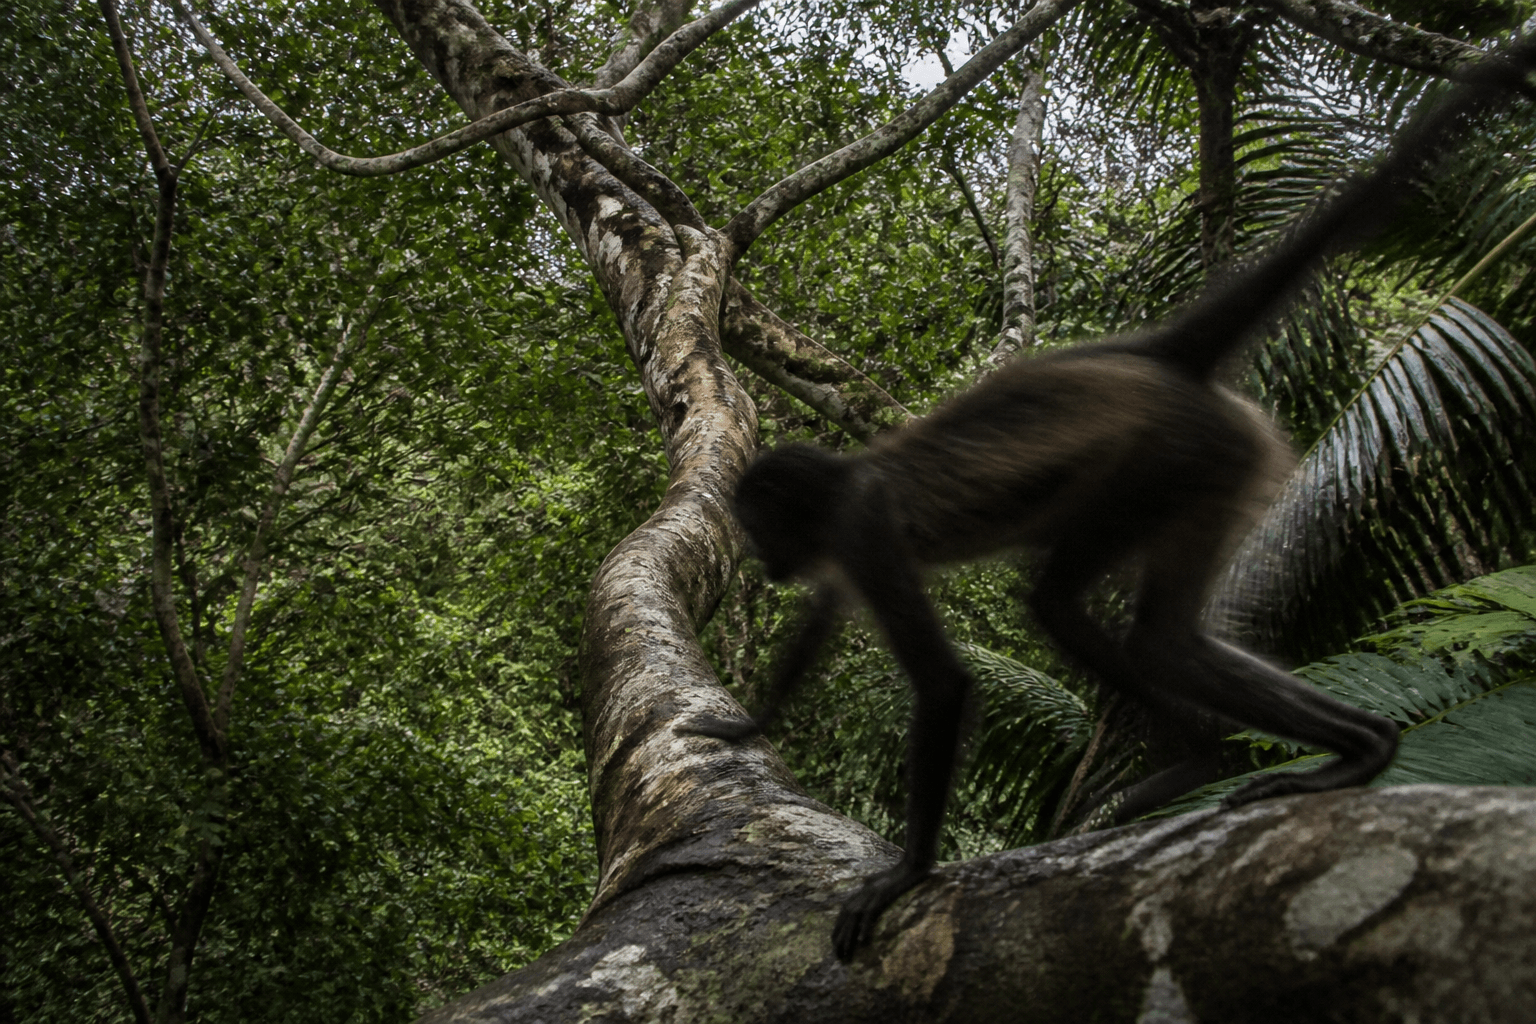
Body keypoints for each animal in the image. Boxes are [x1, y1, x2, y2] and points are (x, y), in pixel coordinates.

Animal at [684, 39, 1536, 962]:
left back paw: (1304, 755)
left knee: (1086, 613)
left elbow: (943, 684)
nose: (759, 557)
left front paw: (907, 873)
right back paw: (1306, 752)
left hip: (1170, 459)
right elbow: (817, 626)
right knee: (1157, 631)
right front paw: (750, 726)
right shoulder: (842, 548)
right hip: (1210, 470)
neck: (843, 481)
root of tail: (1153, 357)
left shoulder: (864, 527)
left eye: (756, 523)